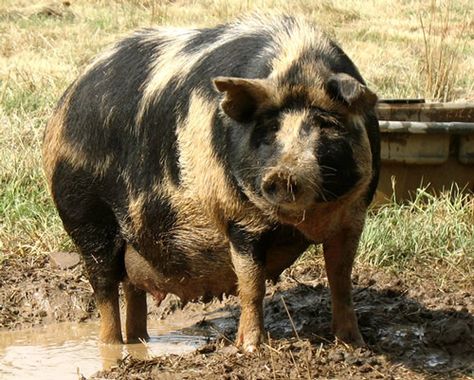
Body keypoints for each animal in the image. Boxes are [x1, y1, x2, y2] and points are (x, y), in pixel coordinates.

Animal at [42, 14, 380, 354]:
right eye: (270, 128)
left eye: (327, 124)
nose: (283, 174)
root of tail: (64, 103)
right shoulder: (240, 219)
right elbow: (252, 286)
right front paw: (251, 349)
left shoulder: (354, 214)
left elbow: (341, 279)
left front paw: (354, 344)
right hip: (84, 215)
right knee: (105, 289)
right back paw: (113, 349)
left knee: (132, 289)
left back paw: (138, 343)